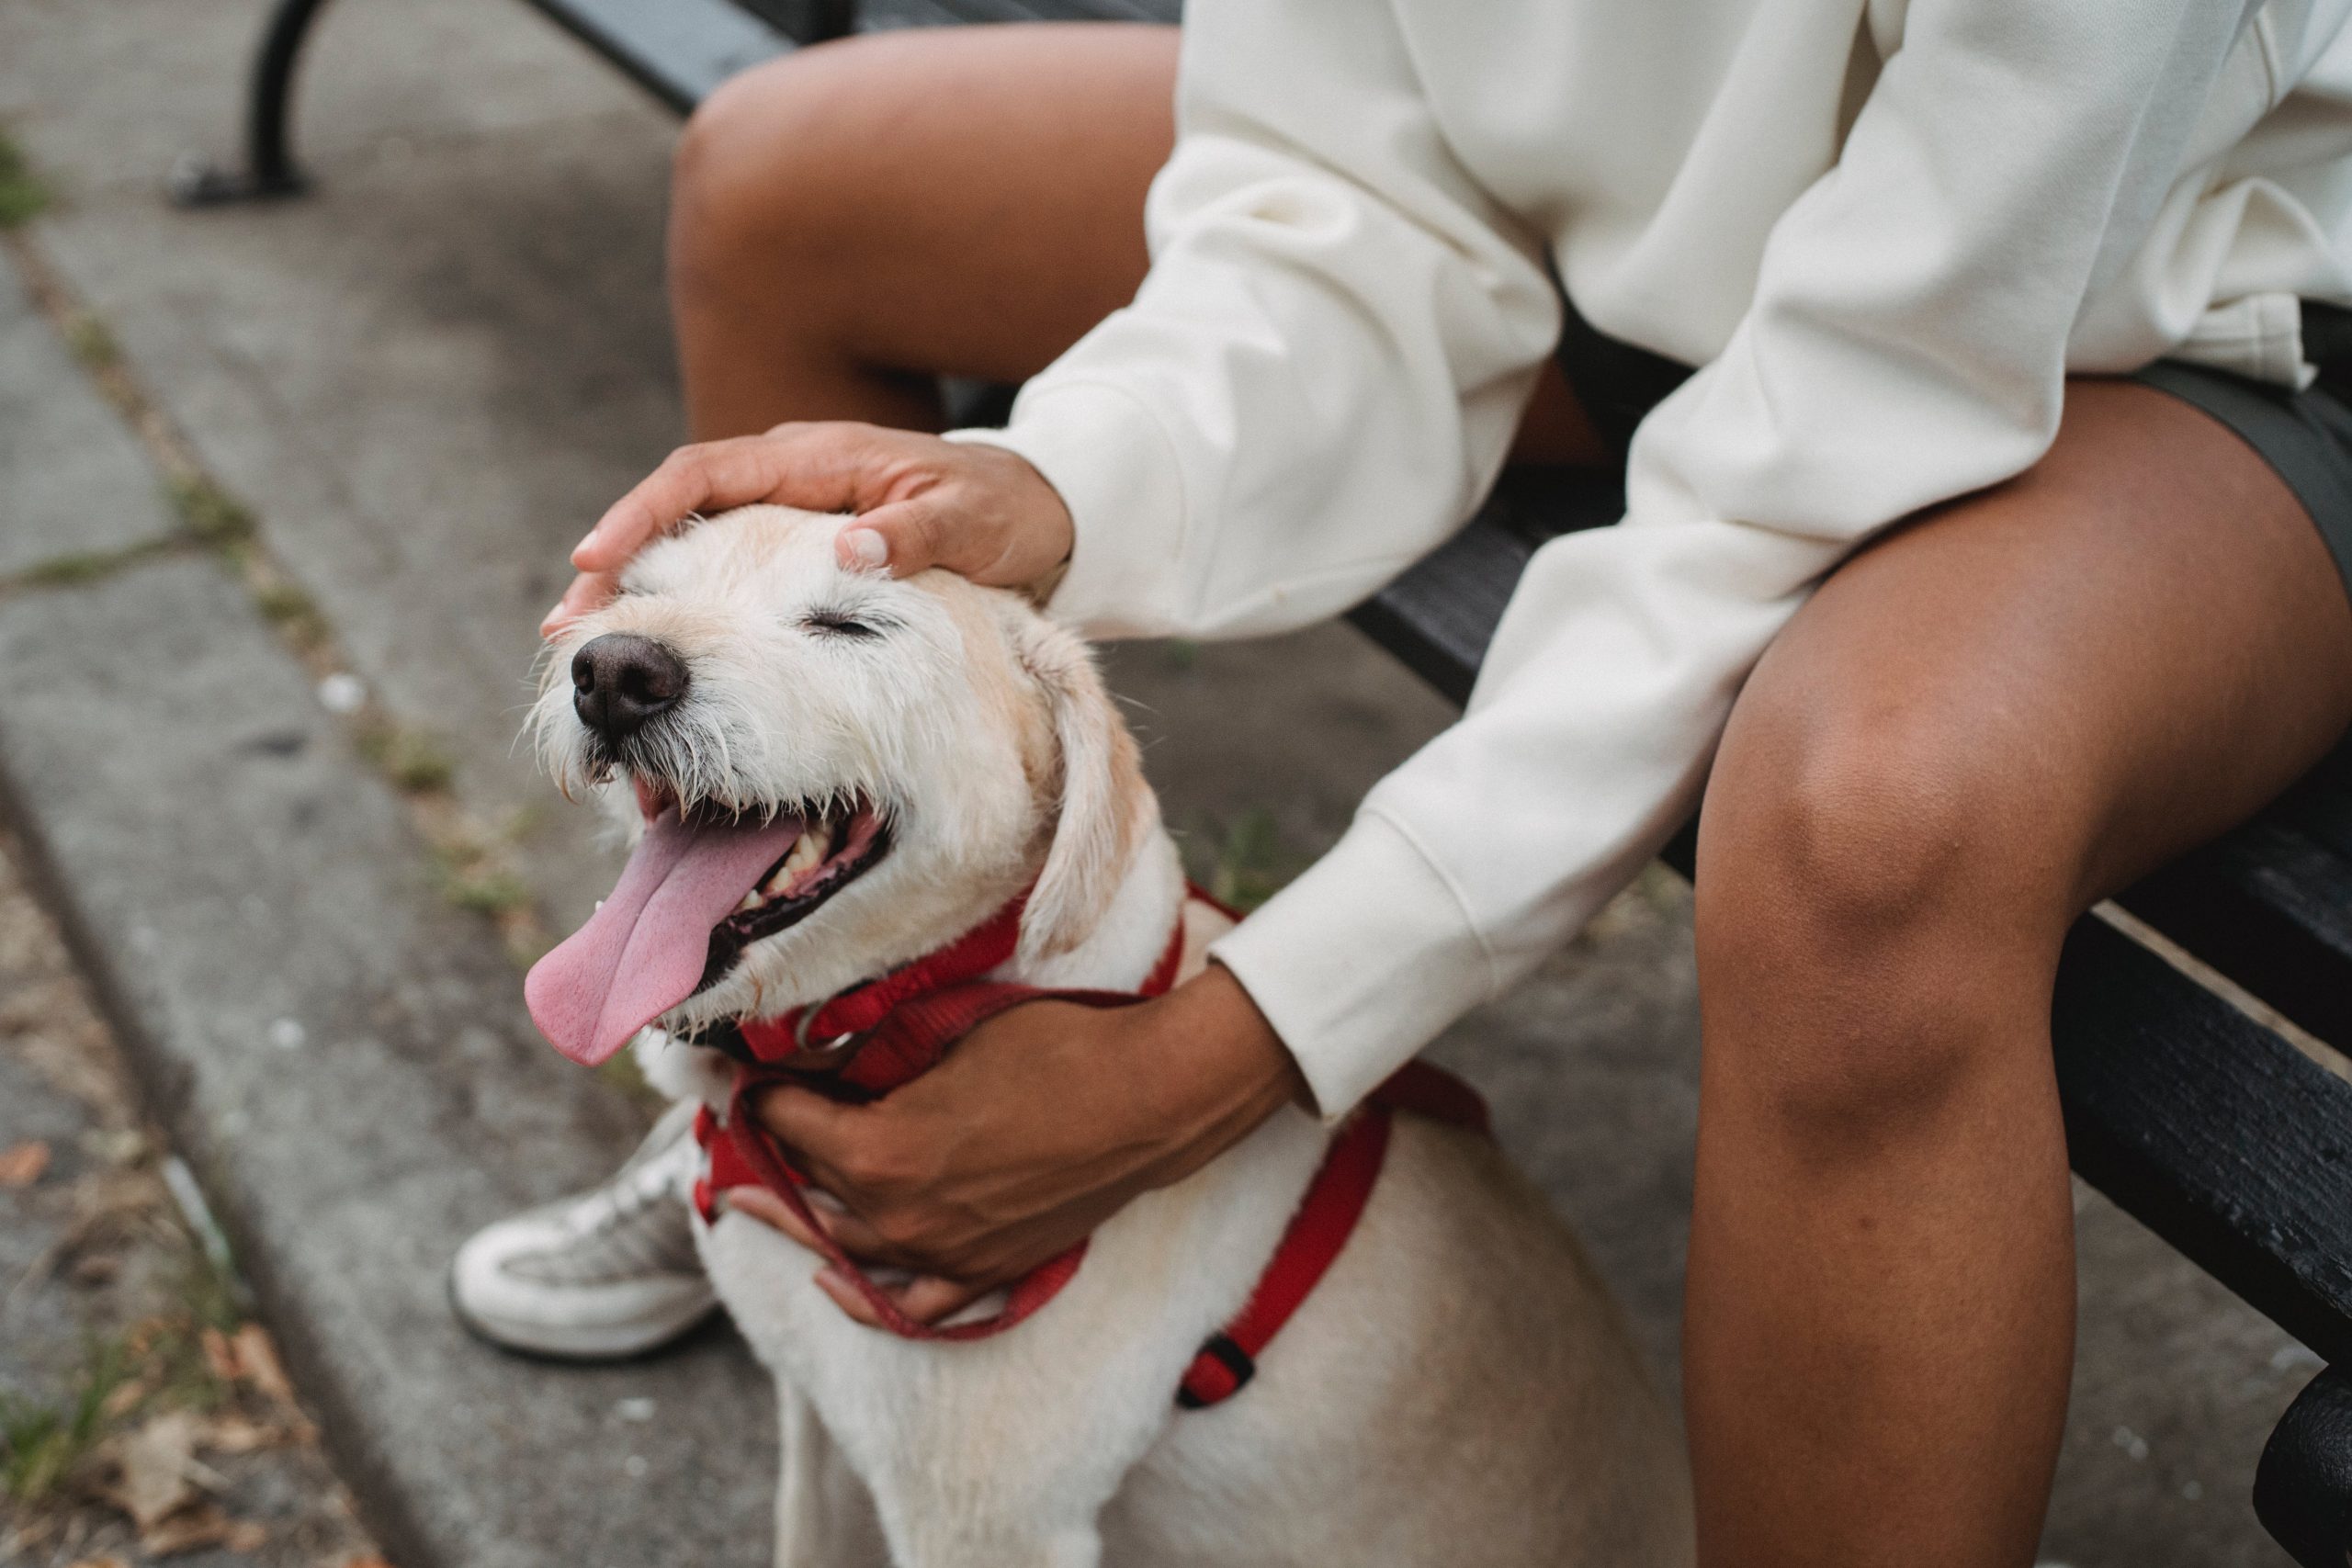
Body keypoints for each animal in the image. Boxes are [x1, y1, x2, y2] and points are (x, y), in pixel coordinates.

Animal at [529, 510, 1693, 1568]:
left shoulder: (988, 1525)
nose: (614, 671)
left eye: (852, 624)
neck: (922, 1007)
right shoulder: (819, 1430)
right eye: (640, 591)